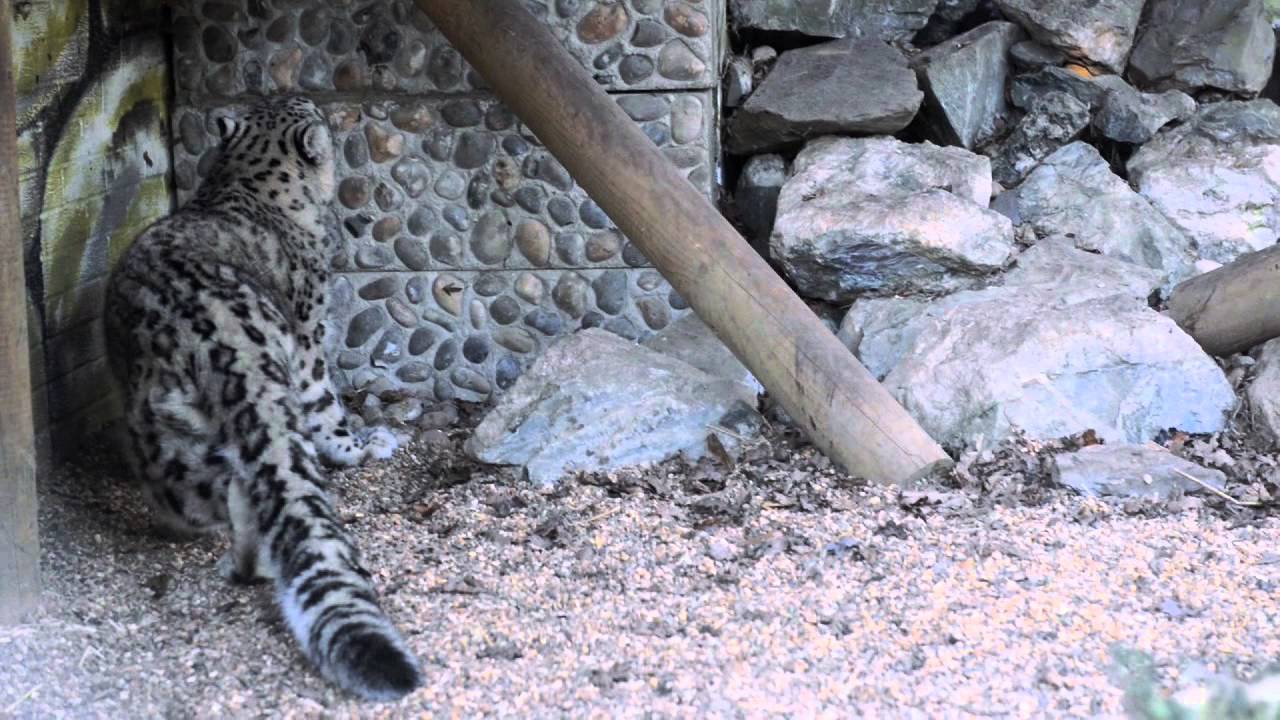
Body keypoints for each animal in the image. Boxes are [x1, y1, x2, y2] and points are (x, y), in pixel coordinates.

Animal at [104, 95, 422, 701]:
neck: (245, 181)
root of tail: (222, 330)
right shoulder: (312, 333)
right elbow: (327, 407)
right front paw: (360, 446)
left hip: (166, 427)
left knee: (213, 485)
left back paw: (236, 559)